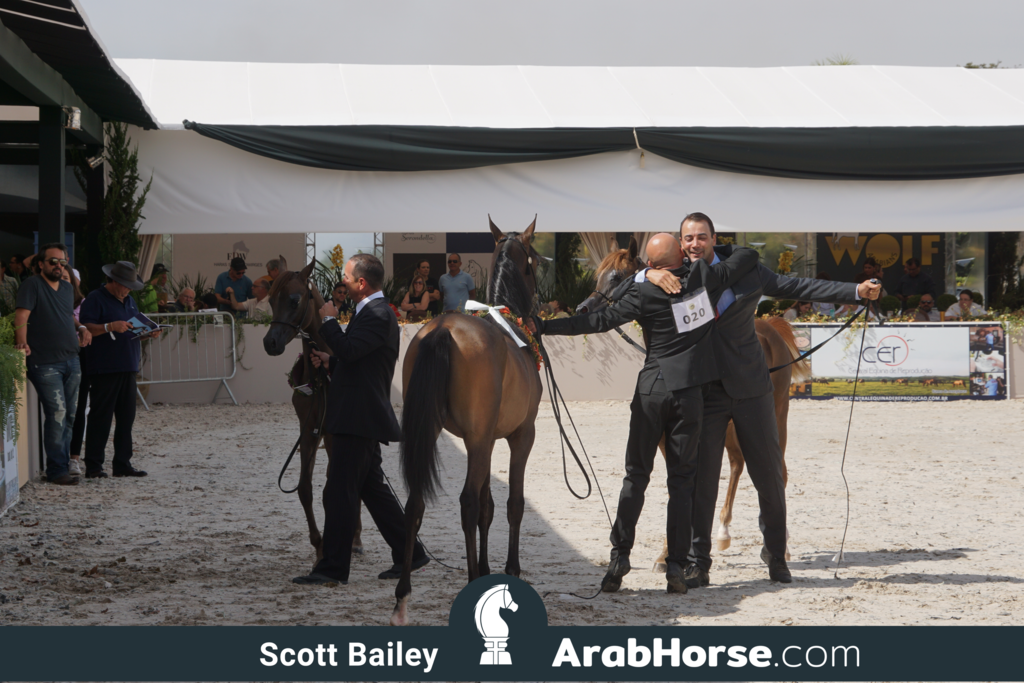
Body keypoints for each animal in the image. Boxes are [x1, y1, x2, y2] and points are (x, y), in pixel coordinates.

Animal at [261, 256, 362, 566]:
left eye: (294, 299)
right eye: (271, 300)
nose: (270, 343)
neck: (321, 376)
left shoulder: (334, 434)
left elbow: (334, 488)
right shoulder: (309, 431)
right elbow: (305, 488)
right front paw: (319, 547)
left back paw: (356, 538)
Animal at [391, 216, 544, 626]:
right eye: (535, 262)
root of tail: (442, 330)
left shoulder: (487, 440)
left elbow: (489, 507)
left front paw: (490, 569)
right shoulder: (521, 435)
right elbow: (511, 503)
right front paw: (509, 569)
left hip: (433, 432)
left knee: (415, 504)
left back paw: (402, 597)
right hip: (478, 440)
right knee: (467, 503)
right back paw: (471, 581)